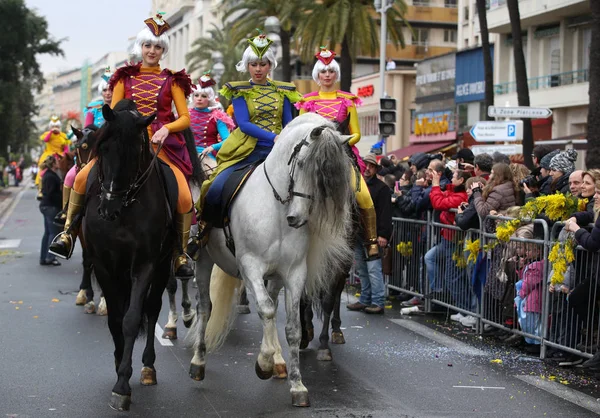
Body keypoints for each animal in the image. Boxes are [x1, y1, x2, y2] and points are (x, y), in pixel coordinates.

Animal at [84, 100, 178, 412]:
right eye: (103, 148)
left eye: (136, 151)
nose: (108, 208)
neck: (124, 212)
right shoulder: (103, 264)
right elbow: (115, 318)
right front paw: (117, 366)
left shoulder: (145, 264)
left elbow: (132, 318)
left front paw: (122, 385)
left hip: (163, 266)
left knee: (152, 308)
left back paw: (148, 367)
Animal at [186, 112, 356, 406]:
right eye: (302, 163)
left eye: (327, 177)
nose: (296, 218)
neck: (276, 208)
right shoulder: (250, 266)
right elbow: (264, 310)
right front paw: (263, 364)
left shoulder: (294, 272)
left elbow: (292, 326)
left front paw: (297, 385)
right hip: (204, 260)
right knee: (205, 306)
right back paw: (198, 362)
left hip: (275, 276)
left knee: (273, 305)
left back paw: (278, 361)